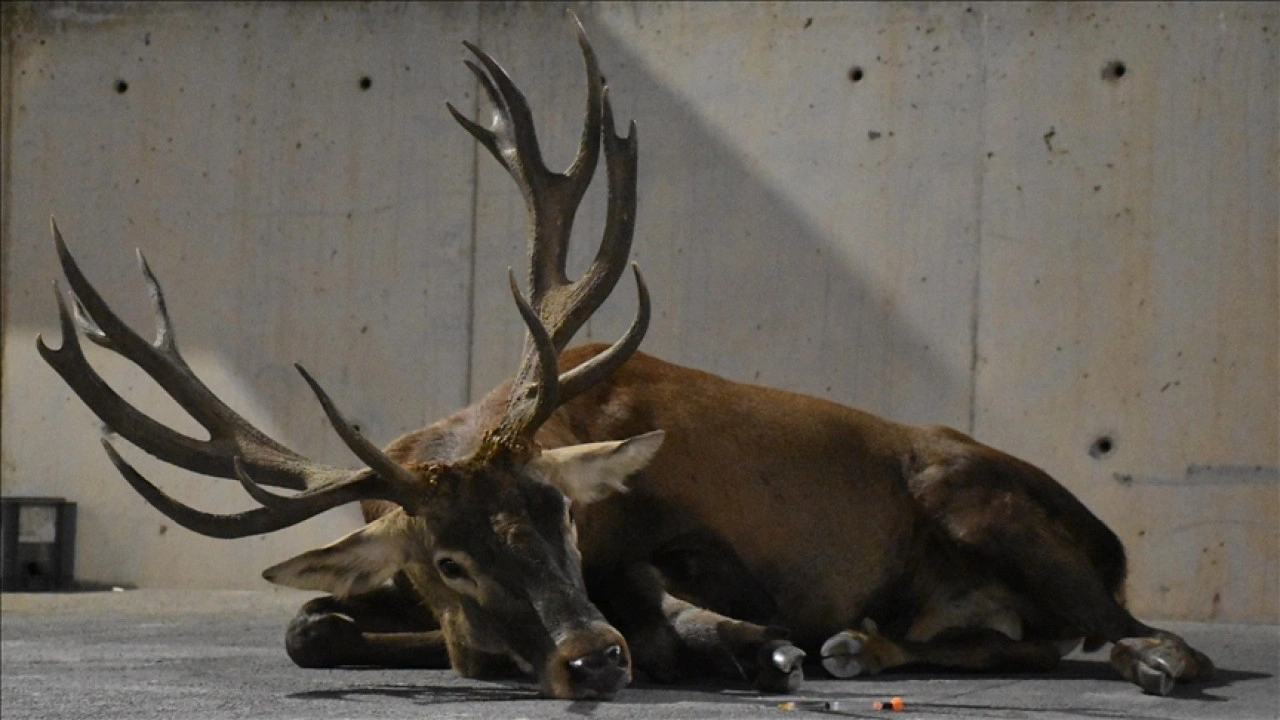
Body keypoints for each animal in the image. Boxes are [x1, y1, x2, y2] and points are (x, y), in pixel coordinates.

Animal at [37, 14, 1208, 696]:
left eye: (562, 513)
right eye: (447, 559)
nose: (589, 656)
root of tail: (1108, 538)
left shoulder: (705, 542)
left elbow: (683, 600)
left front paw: (734, 640)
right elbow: (308, 629)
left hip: (982, 501)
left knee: (1134, 629)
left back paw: (1139, 654)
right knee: (1027, 637)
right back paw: (863, 644)